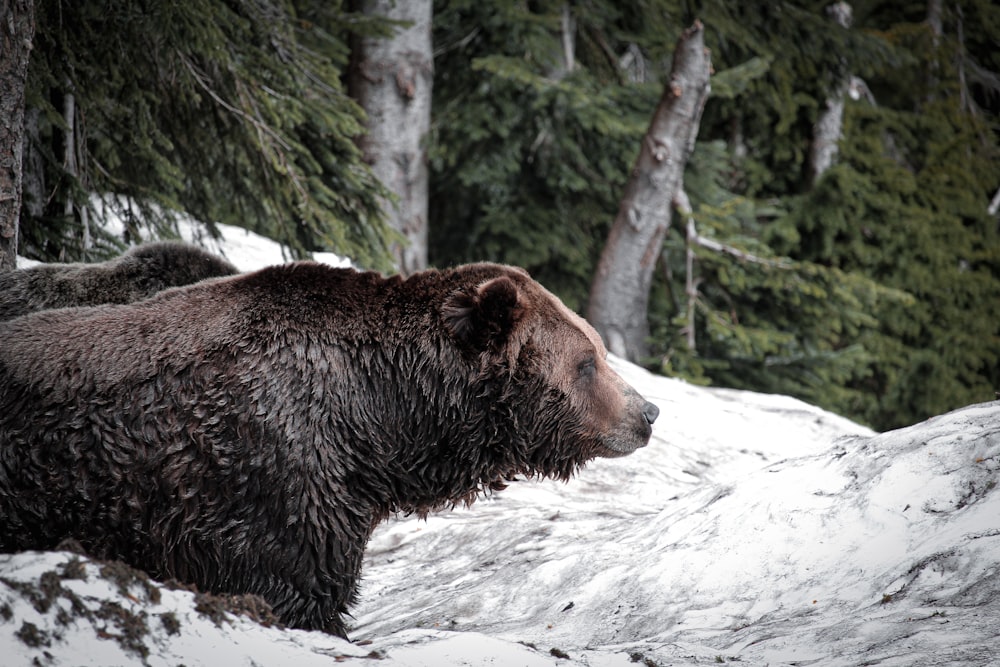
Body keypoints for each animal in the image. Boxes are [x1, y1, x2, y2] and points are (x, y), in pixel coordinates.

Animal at [0, 260, 660, 636]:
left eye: (598, 348)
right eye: (586, 361)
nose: (648, 413)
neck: (378, 418)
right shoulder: (269, 474)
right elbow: (299, 588)